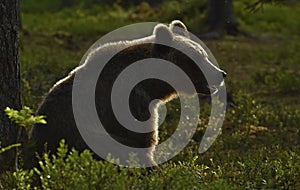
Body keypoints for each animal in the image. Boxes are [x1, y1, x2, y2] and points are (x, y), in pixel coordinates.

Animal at [28, 20, 225, 168]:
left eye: (204, 55)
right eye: (198, 58)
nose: (221, 73)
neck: (150, 84)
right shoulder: (130, 103)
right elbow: (142, 143)